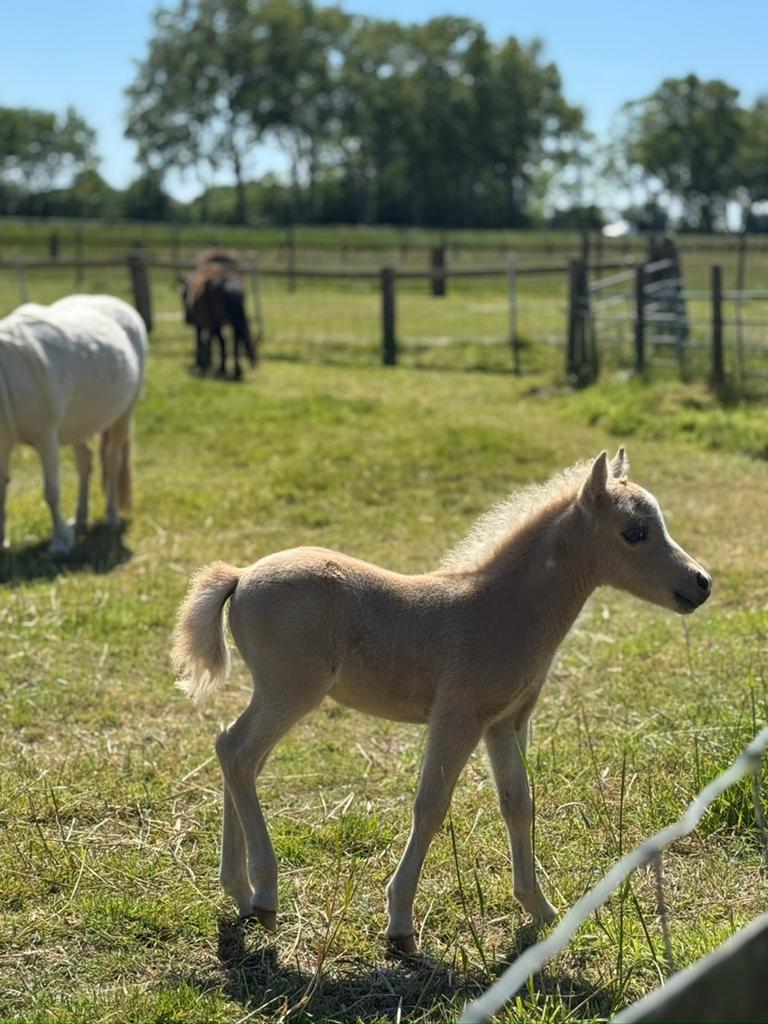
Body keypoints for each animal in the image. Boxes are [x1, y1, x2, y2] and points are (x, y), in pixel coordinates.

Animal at [0, 295, 148, 556]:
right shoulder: (3, 442)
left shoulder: (46, 436)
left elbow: (51, 491)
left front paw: (60, 542)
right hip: (80, 424)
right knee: (85, 462)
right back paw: (80, 518)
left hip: (123, 415)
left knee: (113, 461)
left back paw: (112, 516)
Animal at [171, 450, 712, 952]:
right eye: (634, 532)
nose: (701, 583)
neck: (503, 608)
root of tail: (240, 575)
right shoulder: (458, 717)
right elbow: (431, 806)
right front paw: (400, 923)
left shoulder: (505, 722)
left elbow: (519, 802)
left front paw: (539, 908)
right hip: (290, 690)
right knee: (238, 753)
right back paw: (264, 894)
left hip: (277, 694)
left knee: (235, 752)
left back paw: (239, 892)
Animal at [182, 250, 257, 380]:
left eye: (182, 296)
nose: (187, 320)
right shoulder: (210, 324)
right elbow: (210, 341)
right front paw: (208, 362)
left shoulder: (200, 325)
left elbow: (201, 341)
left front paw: (201, 363)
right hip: (232, 322)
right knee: (236, 341)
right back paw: (237, 372)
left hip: (217, 322)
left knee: (223, 342)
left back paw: (222, 370)